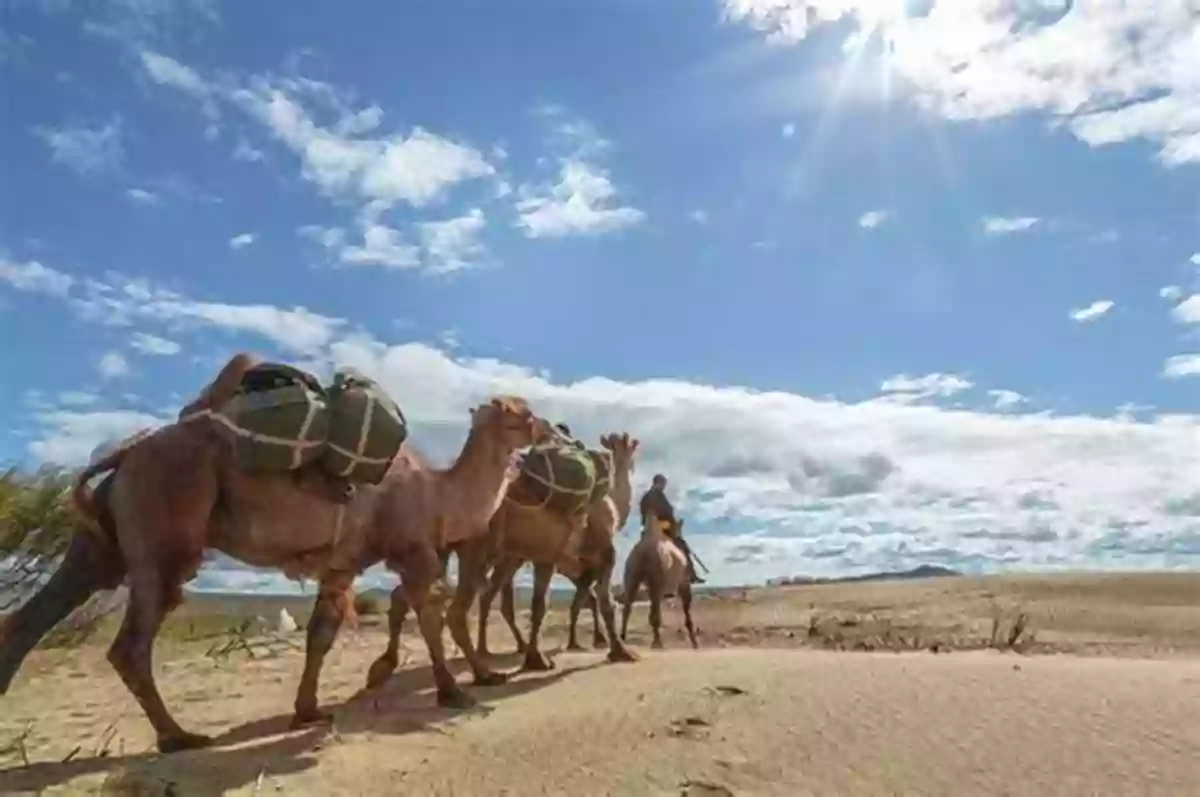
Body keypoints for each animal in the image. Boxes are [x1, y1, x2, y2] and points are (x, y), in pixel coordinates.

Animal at [0, 355, 549, 753]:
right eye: (521, 414)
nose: (551, 428)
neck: (437, 491)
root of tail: (127, 452)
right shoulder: (412, 550)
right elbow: (428, 617)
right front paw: (454, 692)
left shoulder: (342, 563)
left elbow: (321, 634)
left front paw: (308, 710)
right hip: (163, 527)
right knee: (132, 642)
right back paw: (178, 737)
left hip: (107, 532)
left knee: (41, 611)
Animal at [364, 429, 643, 691]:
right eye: (627, 446)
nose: (628, 454)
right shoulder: (601, 556)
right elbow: (605, 604)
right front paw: (620, 650)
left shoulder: (547, 556)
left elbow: (540, 605)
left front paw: (536, 657)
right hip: (477, 548)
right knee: (456, 609)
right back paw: (480, 673)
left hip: (442, 549)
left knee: (407, 597)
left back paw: (384, 666)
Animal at [624, 513, 700, 652]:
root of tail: (645, 550)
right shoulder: (683, 584)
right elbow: (687, 612)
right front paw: (694, 642)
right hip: (657, 583)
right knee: (655, 614)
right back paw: (657, 642)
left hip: (631, 578)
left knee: (628, 607)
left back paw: (622, 637)